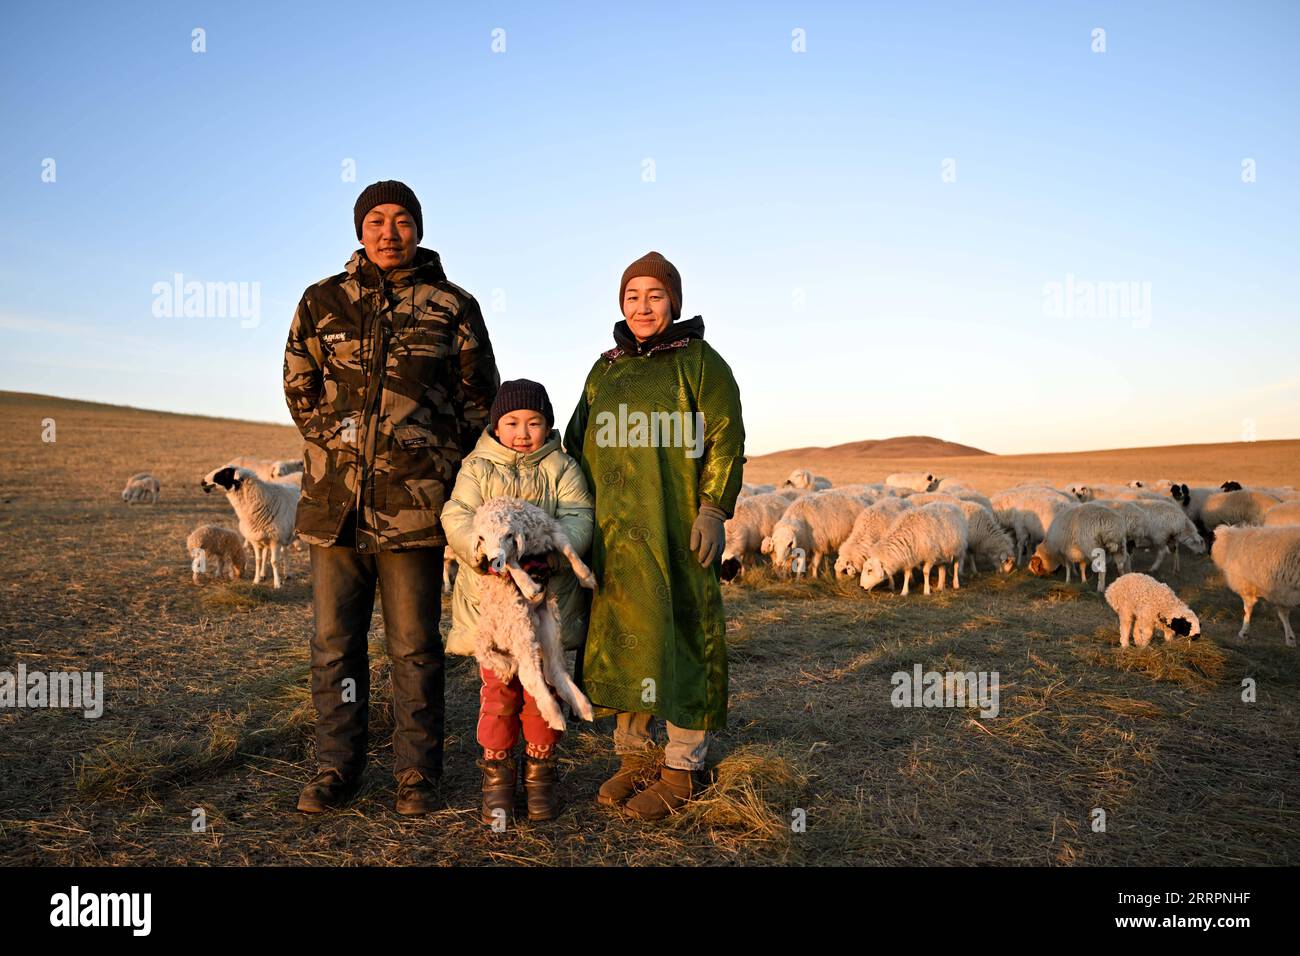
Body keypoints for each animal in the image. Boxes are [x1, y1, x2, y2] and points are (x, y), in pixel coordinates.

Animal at [470, 496, 595, 728]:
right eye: (481, 538)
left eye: (507, 535)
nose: (493, 562)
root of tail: (488, 630)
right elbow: (512, 564)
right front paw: (527, 585)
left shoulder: (552, 529)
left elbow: (569, 550)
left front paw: (587, 578)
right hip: (519, 628)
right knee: (528, 674)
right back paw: (555, 716)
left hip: (549, 622)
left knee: (553, 670)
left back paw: (583, 707)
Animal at [1206, 522, 1300, 650]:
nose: (1206, 554)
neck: (1228, 544)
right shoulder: (1282, 592)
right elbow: (1283, 615)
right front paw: (1290, 639)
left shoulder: (1247, 588)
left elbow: (1247, 610)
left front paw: (1244, 632)